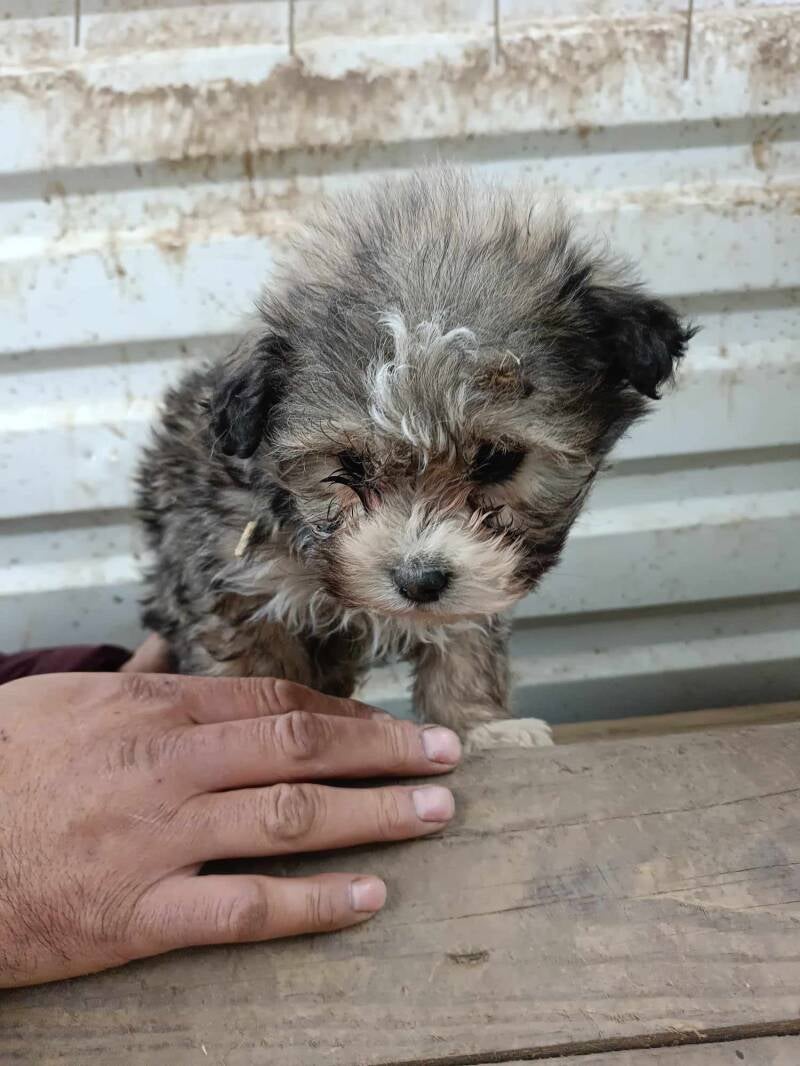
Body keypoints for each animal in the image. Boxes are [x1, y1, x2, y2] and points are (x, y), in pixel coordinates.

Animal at [136, 168, 694, 752]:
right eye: (350, 465)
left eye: (497, 460)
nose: (420, 581)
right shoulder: (237, 587)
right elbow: (248, 672)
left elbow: (465, 641)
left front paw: (480, 724)